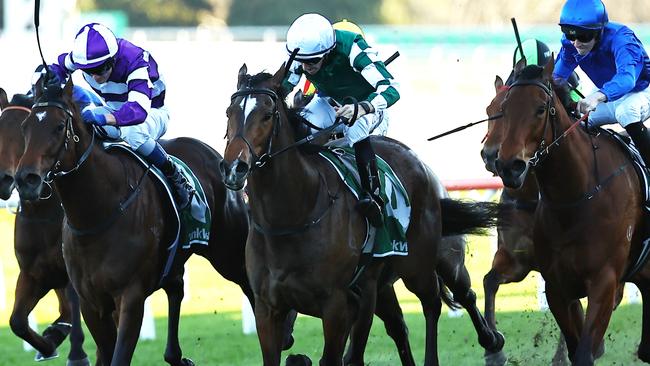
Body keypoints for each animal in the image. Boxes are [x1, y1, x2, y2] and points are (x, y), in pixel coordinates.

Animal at [0, 89, 88, 366]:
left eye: (20, 130)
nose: (4, 179)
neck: (43, 214)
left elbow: (73, 311)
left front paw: (76, 354)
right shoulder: (33, 272)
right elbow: (17, 321)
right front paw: (49, 342)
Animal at [12, 78, 258, 364]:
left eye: (59, 126)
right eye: (25, 127)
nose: (26, 179)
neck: (95, 216)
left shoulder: (130, 296)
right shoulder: (88, 300)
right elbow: (21, 322)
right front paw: (51, 343)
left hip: (227, 252)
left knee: (249, 283)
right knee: (176, 286)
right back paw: (176, 355)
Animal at [219, 64, 502, 364]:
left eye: (267, 115)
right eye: (229, 112)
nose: (234, 167)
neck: (292, 219)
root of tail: (415, 160)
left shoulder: (337, 304)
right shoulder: (268, 308)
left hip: (423, 263)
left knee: (442, 299)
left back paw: (489, 341)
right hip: (382, 283)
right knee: (400, 324)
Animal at [492, 58, 648, 364]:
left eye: (541, 108)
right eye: (503, 108)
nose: (508, 166)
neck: (575, 197)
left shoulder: (604, 282)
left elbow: (586, 352)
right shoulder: (556, 285)